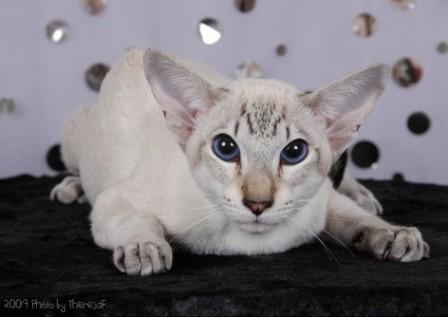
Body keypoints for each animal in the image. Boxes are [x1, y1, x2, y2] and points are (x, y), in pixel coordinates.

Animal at [50, 48, 428, 274]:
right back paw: (71, 187)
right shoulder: (114, 200)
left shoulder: (319, 203)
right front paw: (145, 248)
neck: (247, 245)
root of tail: (134, 49)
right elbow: (138, 220)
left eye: (294, 152)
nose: (257, 203)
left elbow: (353, 218)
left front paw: (393, 234)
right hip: (71, 138)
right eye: (225, 148)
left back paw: (363, 195)